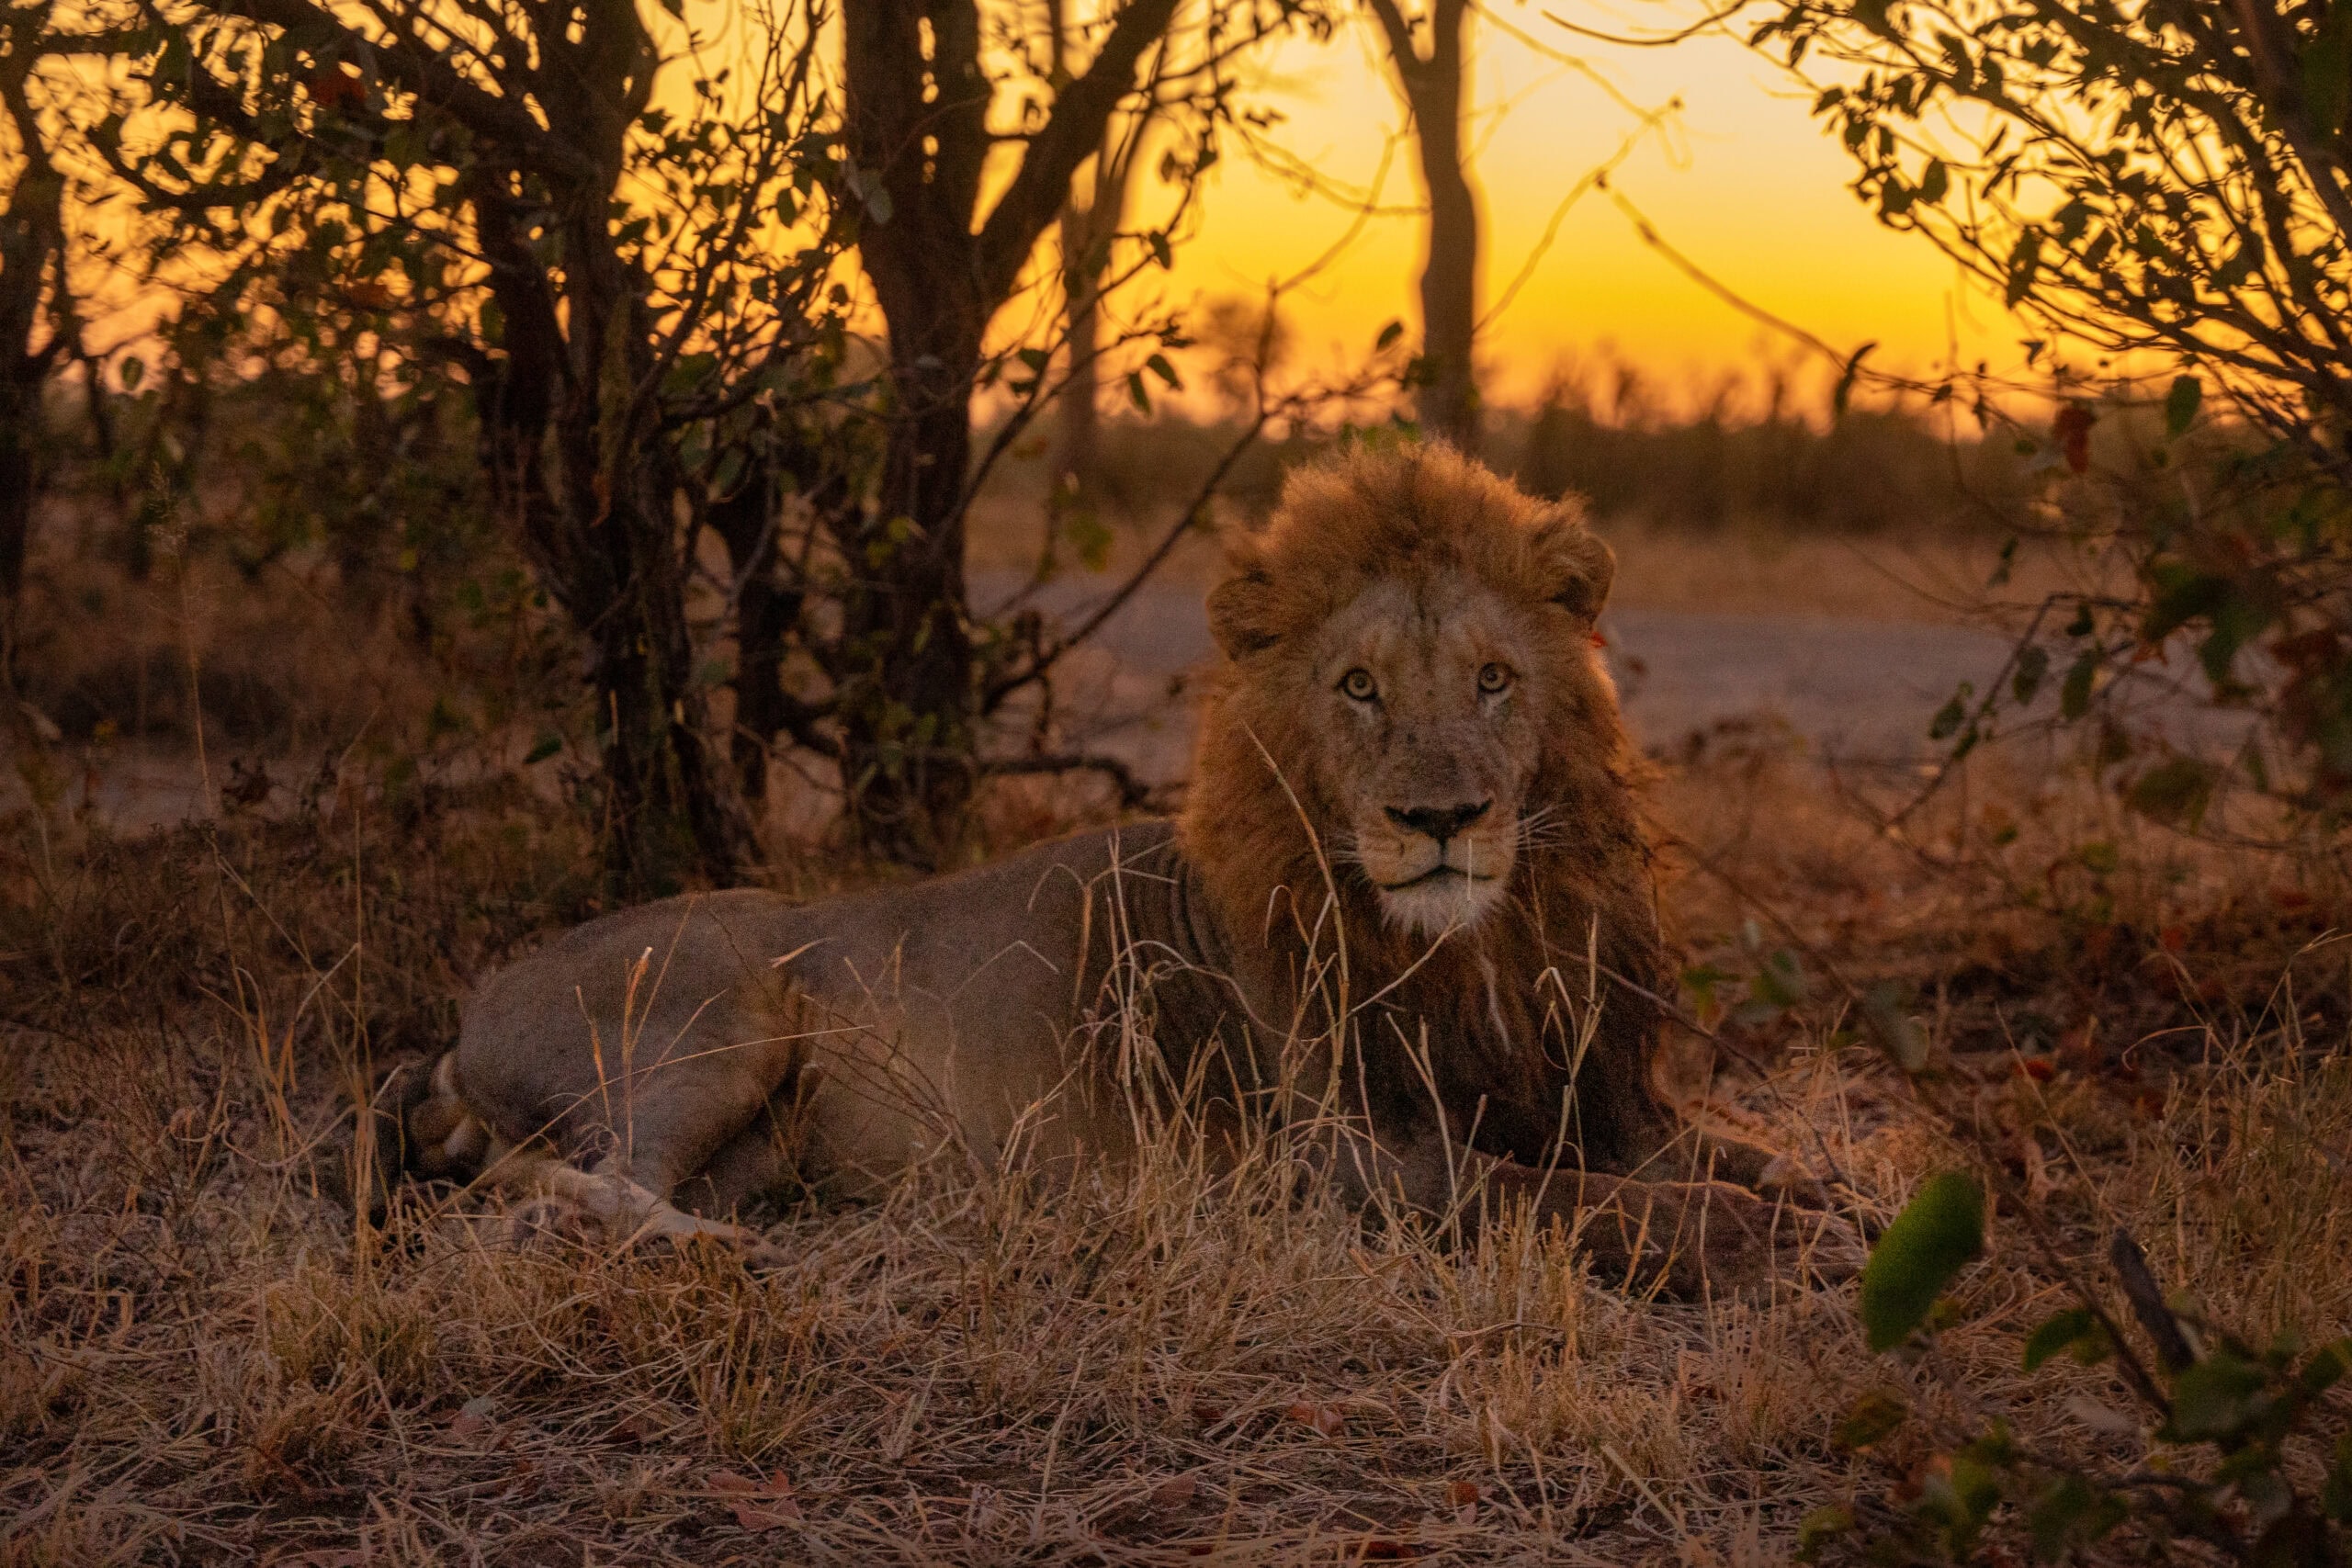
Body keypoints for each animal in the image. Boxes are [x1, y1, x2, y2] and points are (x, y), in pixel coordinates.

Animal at [395, 444, 1853, 1294]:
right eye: (1359, 687)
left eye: (1494, 680)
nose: (1440, 815)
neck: (1474, 946)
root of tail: (461, 1019)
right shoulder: (1323, 1160)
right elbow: (1543, 1196)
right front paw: (1753, 1239)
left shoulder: (1593, 1093)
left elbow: (1723, 1153)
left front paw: (1826, 1198)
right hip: (713, 1014)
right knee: (543, 1189)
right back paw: (719, 1254)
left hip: (759, 1133)